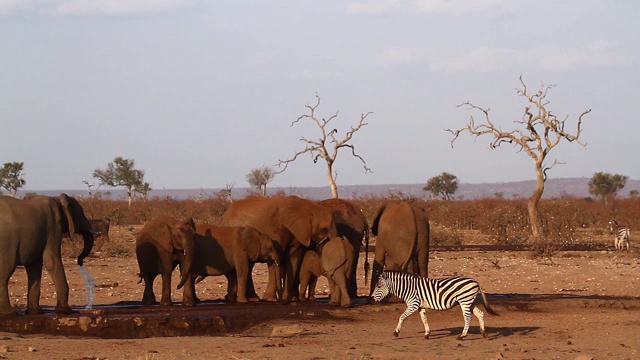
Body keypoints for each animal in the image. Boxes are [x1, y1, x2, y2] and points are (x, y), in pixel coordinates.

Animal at [370, 270, 500, 340]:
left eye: (379, 286)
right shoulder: (420, 306)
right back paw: (483, 333)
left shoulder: (413, 304)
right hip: (470, 301)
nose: (371, 299)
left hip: (465, 301)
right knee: (480, 314)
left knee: (468, 318)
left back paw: (462, 336)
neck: (408, 288)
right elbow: (424, 319)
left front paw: (396, 332)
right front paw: (427, 334)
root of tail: (476, 282)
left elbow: (402, 317)